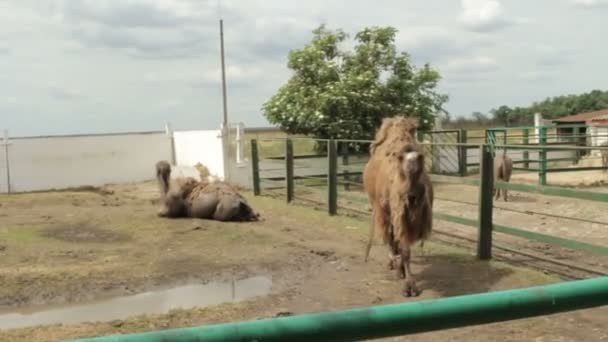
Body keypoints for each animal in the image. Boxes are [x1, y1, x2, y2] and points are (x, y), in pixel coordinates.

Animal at [360, 117, 432, 296]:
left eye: (421, 161)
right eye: (400, 161)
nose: (412, 195)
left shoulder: (407, 218)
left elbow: (405, 249)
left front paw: (407, 278)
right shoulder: (397, 213)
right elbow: (400, 245)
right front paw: (408, 285)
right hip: (382, 208)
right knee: (389, 235)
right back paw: (392, 261)